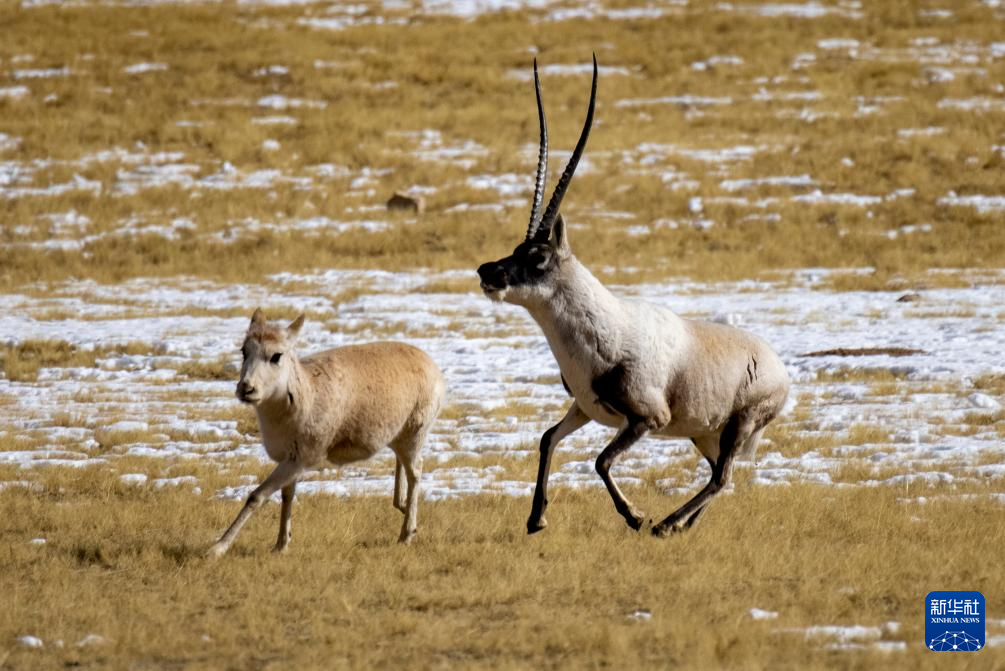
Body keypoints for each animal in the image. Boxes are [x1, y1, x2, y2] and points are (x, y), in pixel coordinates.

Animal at [206, 309, 445, 557]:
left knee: (416, 471)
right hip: (398, 435)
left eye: (276, 356)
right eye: (244, 351)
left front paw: (217, 548)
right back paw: (401, 505)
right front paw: (281, 544)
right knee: (403, 464)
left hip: (415, 433)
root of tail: (431, 364)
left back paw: (407, 532)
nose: (246, 388)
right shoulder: (289, 459)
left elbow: (256, 496)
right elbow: (287, 496)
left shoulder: (301, 458)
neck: (305, 393)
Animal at [476, 57, 791, 538]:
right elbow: (548, 438)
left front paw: (635, 515)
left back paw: (666, 524)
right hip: (704, 433)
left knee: (721, 477)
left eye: (539, 256)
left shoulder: (645, 420)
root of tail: (776, 364)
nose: (487, 272)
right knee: (722, 475)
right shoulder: (585, 406)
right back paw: (682, 525)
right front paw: (536, 519)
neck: (607, 327)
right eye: (515, 249)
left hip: (740, 423)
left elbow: (601, 461)